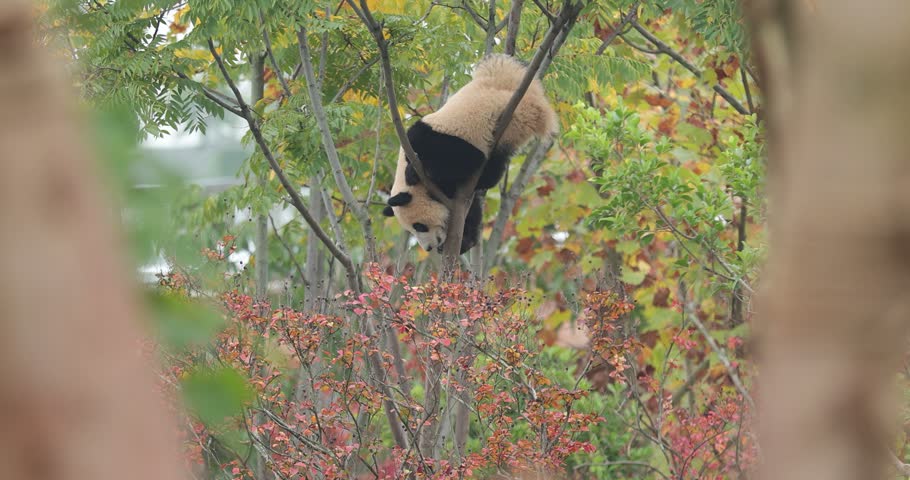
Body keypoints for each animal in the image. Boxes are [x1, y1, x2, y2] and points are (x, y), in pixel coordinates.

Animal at [382, 54, 558, 254]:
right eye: (412, 229)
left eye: (419, 226)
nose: (428, 248)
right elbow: (470, 208)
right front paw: (465, 240)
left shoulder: (435, 141)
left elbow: (456, 164)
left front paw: (418, 172)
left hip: (512, 119)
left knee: (488, 161)